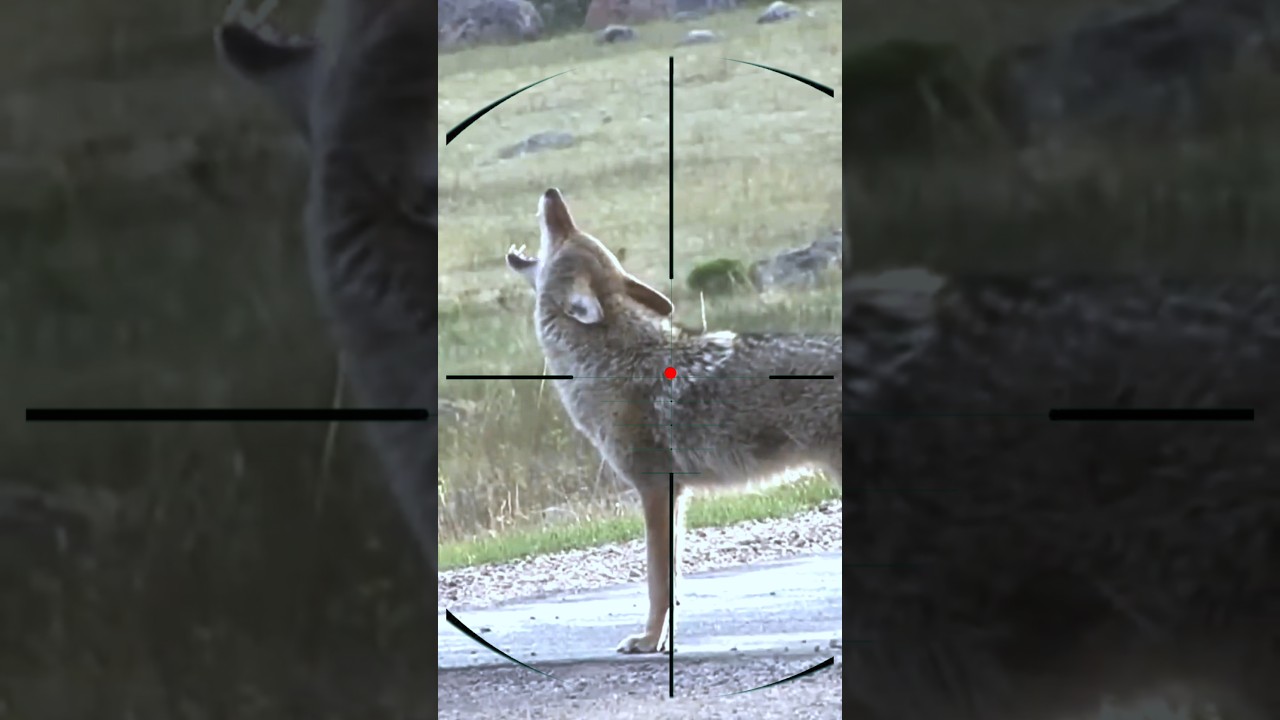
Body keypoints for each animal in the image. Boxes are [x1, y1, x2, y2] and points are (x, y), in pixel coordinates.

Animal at [507, 188, 841, 653]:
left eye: (565, 232)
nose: (552, 193)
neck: (611, 361)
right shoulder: (676, 495)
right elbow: (672, 582)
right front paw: (661, 640)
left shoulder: (655, 490)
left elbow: (657, 582)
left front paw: (648, 641)